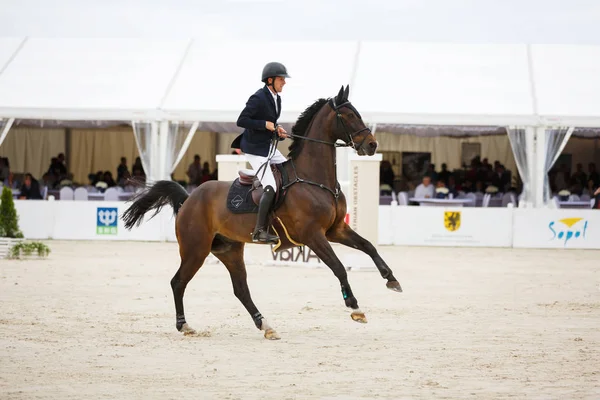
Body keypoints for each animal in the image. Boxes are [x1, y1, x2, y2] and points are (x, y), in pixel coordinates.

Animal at [120, 85, 404, 340]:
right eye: (348, 116)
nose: (372, 145)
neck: (313, 178)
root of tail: (189, 198)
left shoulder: (336, 230)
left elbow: (368, 246)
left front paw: (391, 280)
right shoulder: (313, 235)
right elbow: (339, 267)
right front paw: (355, 307)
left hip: (229, 250)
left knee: (240, 289)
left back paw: (265, 325)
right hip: (195, 249)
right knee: (178, 282)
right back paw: (185, 325)